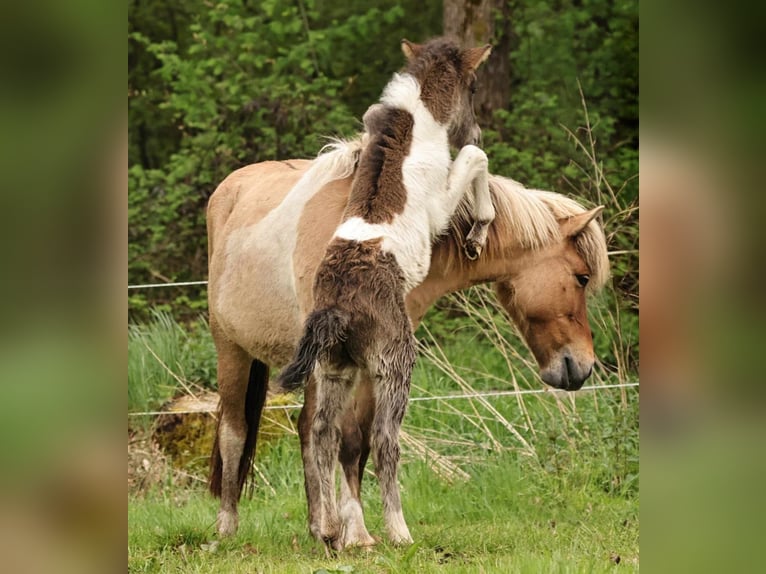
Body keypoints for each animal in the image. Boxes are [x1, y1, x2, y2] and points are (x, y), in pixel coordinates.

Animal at [206, 145, 609, 549]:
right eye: (581, 277)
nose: (583, 365)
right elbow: (345, 438)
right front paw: (360, 532)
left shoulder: (375, 362)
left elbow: (355, 441)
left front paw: (354, 530)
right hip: (233, 350)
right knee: (234, 431)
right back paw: (226, 526)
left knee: (309, 431)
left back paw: (318, 525)